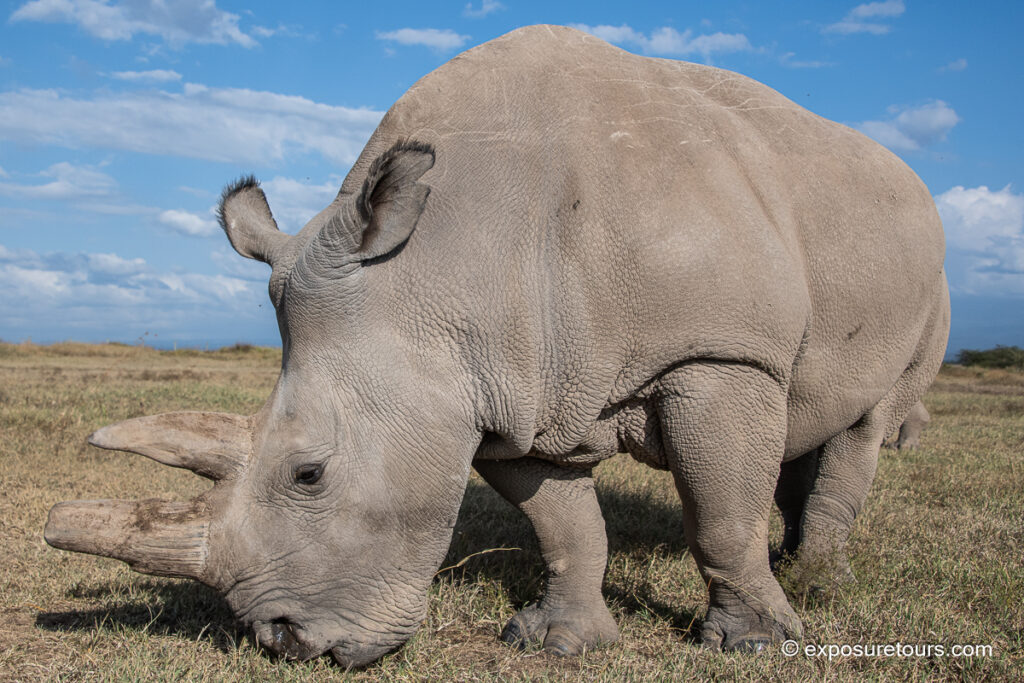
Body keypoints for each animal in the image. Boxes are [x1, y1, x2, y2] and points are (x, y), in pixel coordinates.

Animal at [44, 25, 949, 665]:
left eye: (309, 474)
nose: (288, 642)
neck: (441, 258)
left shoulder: (717, 355)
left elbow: (720, 513)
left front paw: (754, 645)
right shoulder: (505, 392)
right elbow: (565, 524)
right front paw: (557, 641)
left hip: (925, 270)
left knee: (866, 422)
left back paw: (814, 579)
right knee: (805, 416)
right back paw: (794, 560)